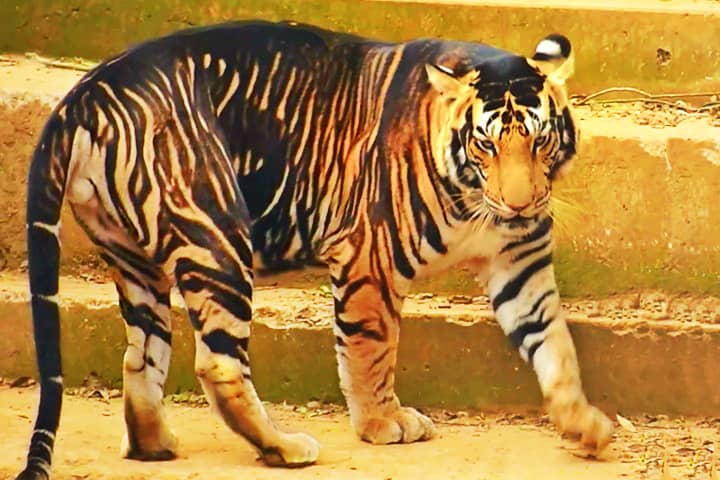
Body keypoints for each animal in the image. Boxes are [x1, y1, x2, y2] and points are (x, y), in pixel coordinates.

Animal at [15, 20, 612, 478]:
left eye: (539, 139)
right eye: (486, 143)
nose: (520, 203)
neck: (474, 198)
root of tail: (84, 95)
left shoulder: (520, 263)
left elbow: (555, 345)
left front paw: (585, 425)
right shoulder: (370, 258)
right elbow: (371, 349)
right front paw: (384, 424)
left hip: (135, 261)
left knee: (140, 355)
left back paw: (155, 446)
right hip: (216, 234)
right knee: (218, 363)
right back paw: (283, 447)